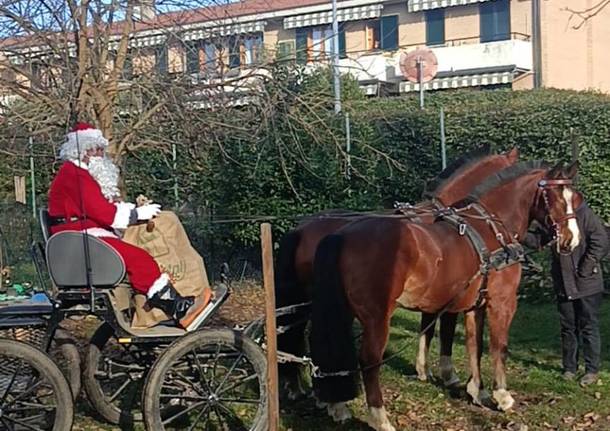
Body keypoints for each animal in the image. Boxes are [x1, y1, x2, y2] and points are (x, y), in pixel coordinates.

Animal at [276, 146, 516, 398]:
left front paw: (424, 370)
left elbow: (427, 328)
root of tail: (301, 228)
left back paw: (296, 386)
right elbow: (446, 331)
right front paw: (449, 375)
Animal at [308, 160, 580, 430]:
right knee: (368, 361)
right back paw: (380, 419)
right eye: (555, 198)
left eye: (575, 199)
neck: (491, 228)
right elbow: (498, 346)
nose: (572, 240)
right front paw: (502, 396)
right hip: (377, 318)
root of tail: (341, 235)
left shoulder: (473, 305)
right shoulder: (502, 302)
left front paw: (477, 391)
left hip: (341, 312)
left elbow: (474, 345)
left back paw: (337, 405)